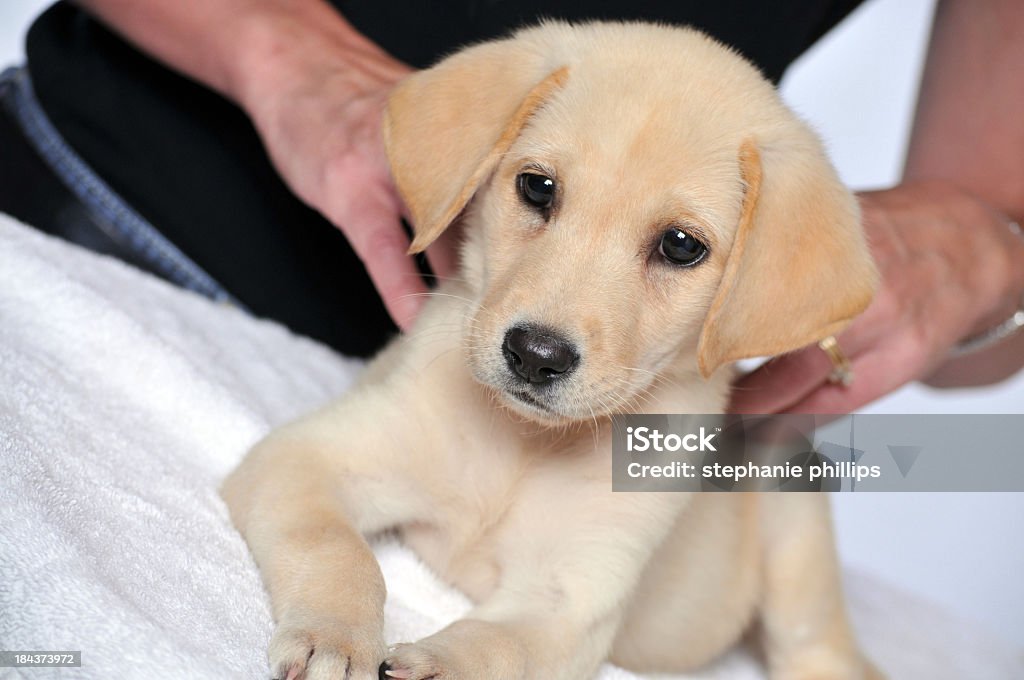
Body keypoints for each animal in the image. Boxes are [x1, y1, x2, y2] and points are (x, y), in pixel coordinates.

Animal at [222, 21, 880, 680]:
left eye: (680, 245)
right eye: (537, 187)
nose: (536, 355)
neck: (526, 444)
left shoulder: (570, 601)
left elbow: (493, 645)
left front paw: (437, 664)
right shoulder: (310, 455)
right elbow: (339, 551)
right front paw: (333, 636)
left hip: (792, 501)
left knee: (818, 644)